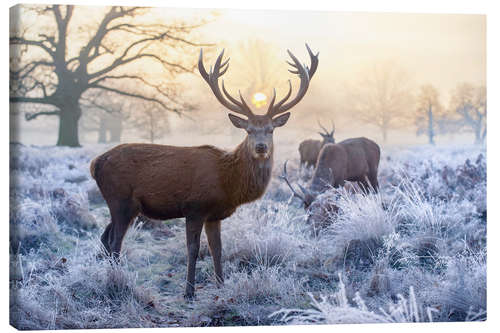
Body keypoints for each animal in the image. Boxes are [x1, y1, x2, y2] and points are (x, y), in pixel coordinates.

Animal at [89, 43, 320, 296]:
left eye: (271, 129)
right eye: (248, 130)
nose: (261, 147)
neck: (227, 183)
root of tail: (95, 164)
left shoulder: (214, 214)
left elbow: (216, 248)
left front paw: (221, 284)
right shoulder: (194, 207)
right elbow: (193, 248)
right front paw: (189, 292)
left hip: (124, 205)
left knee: (105, 237)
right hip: (120, 199)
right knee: (114, 241)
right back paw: (117, 281)